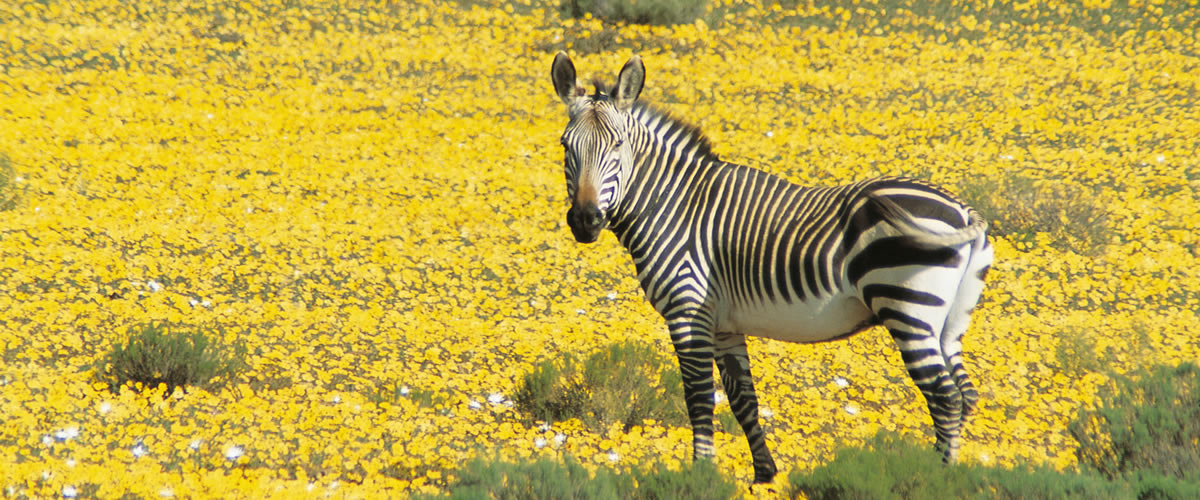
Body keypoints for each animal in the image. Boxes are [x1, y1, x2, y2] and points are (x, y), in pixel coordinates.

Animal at [549, 52, 992, 484]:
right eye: (566, 146)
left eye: (617, 145)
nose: (585, 220)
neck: (674, 205)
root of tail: (963, 209)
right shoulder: (724, 323)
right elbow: (742, 399)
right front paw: (764, 476)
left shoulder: (688, 311)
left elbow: (698, 397)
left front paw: (702, 474)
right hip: (949, 323)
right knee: (965, 394)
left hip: (908, 307)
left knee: (944, 397)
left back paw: (938, 477)